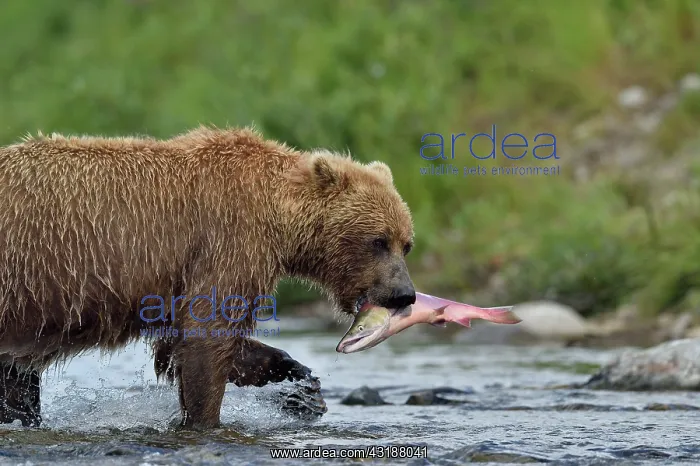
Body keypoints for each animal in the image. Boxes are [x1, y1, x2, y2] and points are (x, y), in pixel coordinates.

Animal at [0, 126, 416, 429]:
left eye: (406, 244)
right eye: (378, 241)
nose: (404, 294)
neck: (278, 219)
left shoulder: (183, 282)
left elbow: (185, 342)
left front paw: (300, 385)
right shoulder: (228, 243)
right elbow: (207, 339)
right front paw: (204, 420)